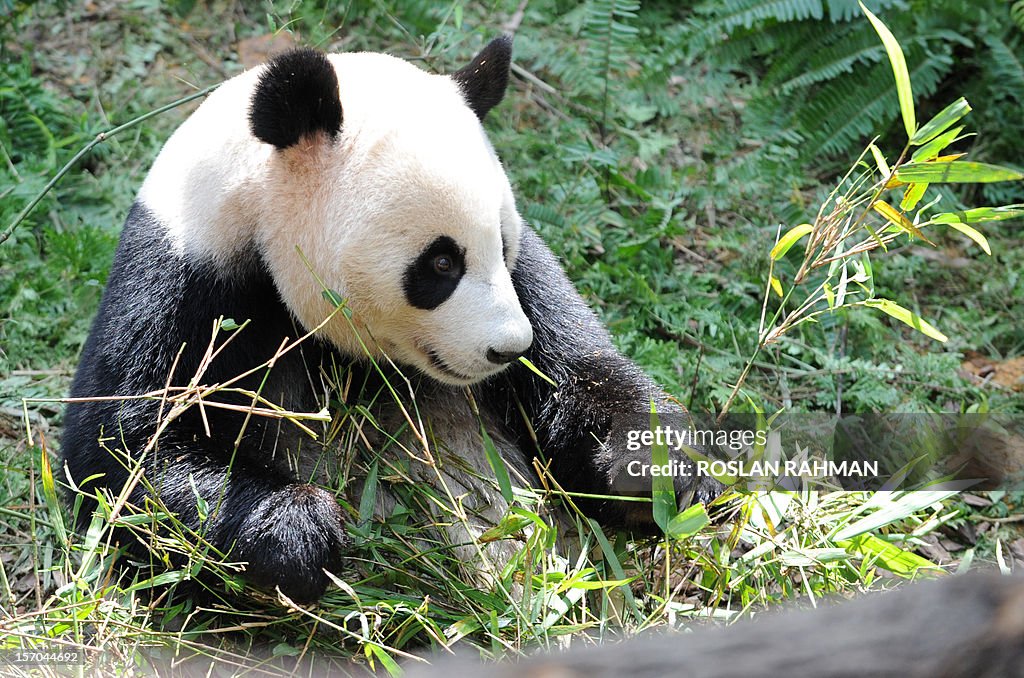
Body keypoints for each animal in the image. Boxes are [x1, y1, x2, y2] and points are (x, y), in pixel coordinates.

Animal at [64, 34, 720, 602]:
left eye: (502, 243)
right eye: (441, 262)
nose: (509, 349)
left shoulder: (531, 284)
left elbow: (581, 374)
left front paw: (659, 469)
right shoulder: (185, 282)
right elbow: (121, 458)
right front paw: (299, 530)